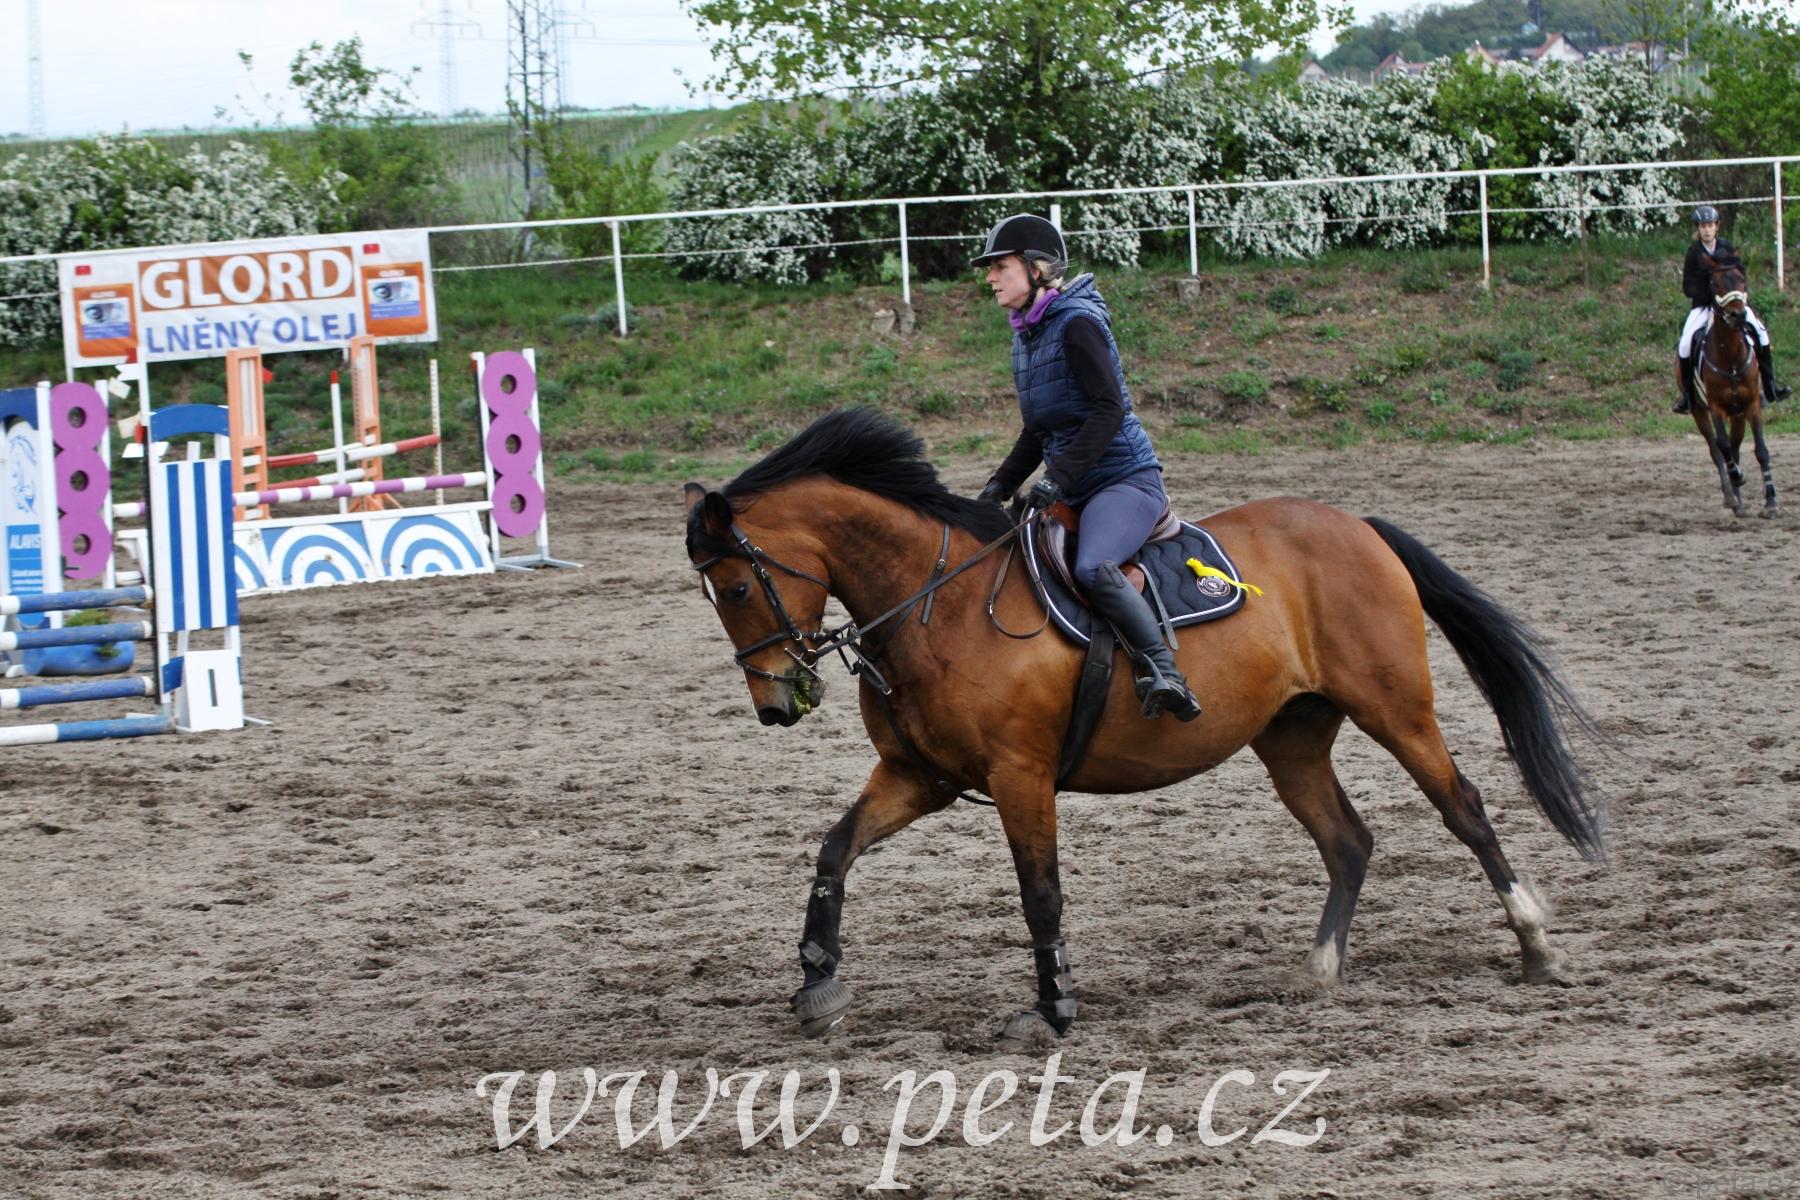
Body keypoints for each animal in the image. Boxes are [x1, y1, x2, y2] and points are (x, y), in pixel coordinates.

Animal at [683, 409, 1605, 1044]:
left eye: (737, 588)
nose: (777, 704)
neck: (934, 603)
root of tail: (1357, 525)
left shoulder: (1019, 775)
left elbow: (1041, 893)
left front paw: (1053, 1007)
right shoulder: (922, 776)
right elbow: (835, 849)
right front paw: (816, 983)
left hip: (1397, 709)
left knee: (1465, 809)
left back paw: (1535, 946)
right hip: (1291, 735)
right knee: (1347, 840)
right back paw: (1320, 970)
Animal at [1691, 255, 1779, 518]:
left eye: (1741, 279)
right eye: (1715, 284)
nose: (1738, 315)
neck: (1730, 357)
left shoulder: (1752, 405)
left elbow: (1761, 450)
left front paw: (1771, 501)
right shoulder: (1716, 408)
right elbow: (1723, 447)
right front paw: (1736, 478)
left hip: (1738, 413)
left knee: (1736, 446)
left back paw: (1739, 500)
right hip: (1699, 411)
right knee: (1717, 449)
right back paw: (1731, 495)